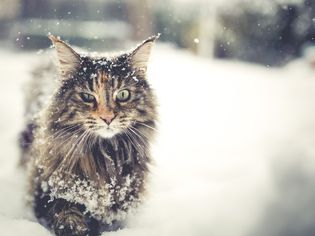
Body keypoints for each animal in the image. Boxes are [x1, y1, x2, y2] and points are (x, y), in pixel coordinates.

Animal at [21, 35, 159, 236]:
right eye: (87, 97)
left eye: (123, 94)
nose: (107, 118)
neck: (103, 157)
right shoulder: (45, 191)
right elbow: (67, 215)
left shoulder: (123, 202)